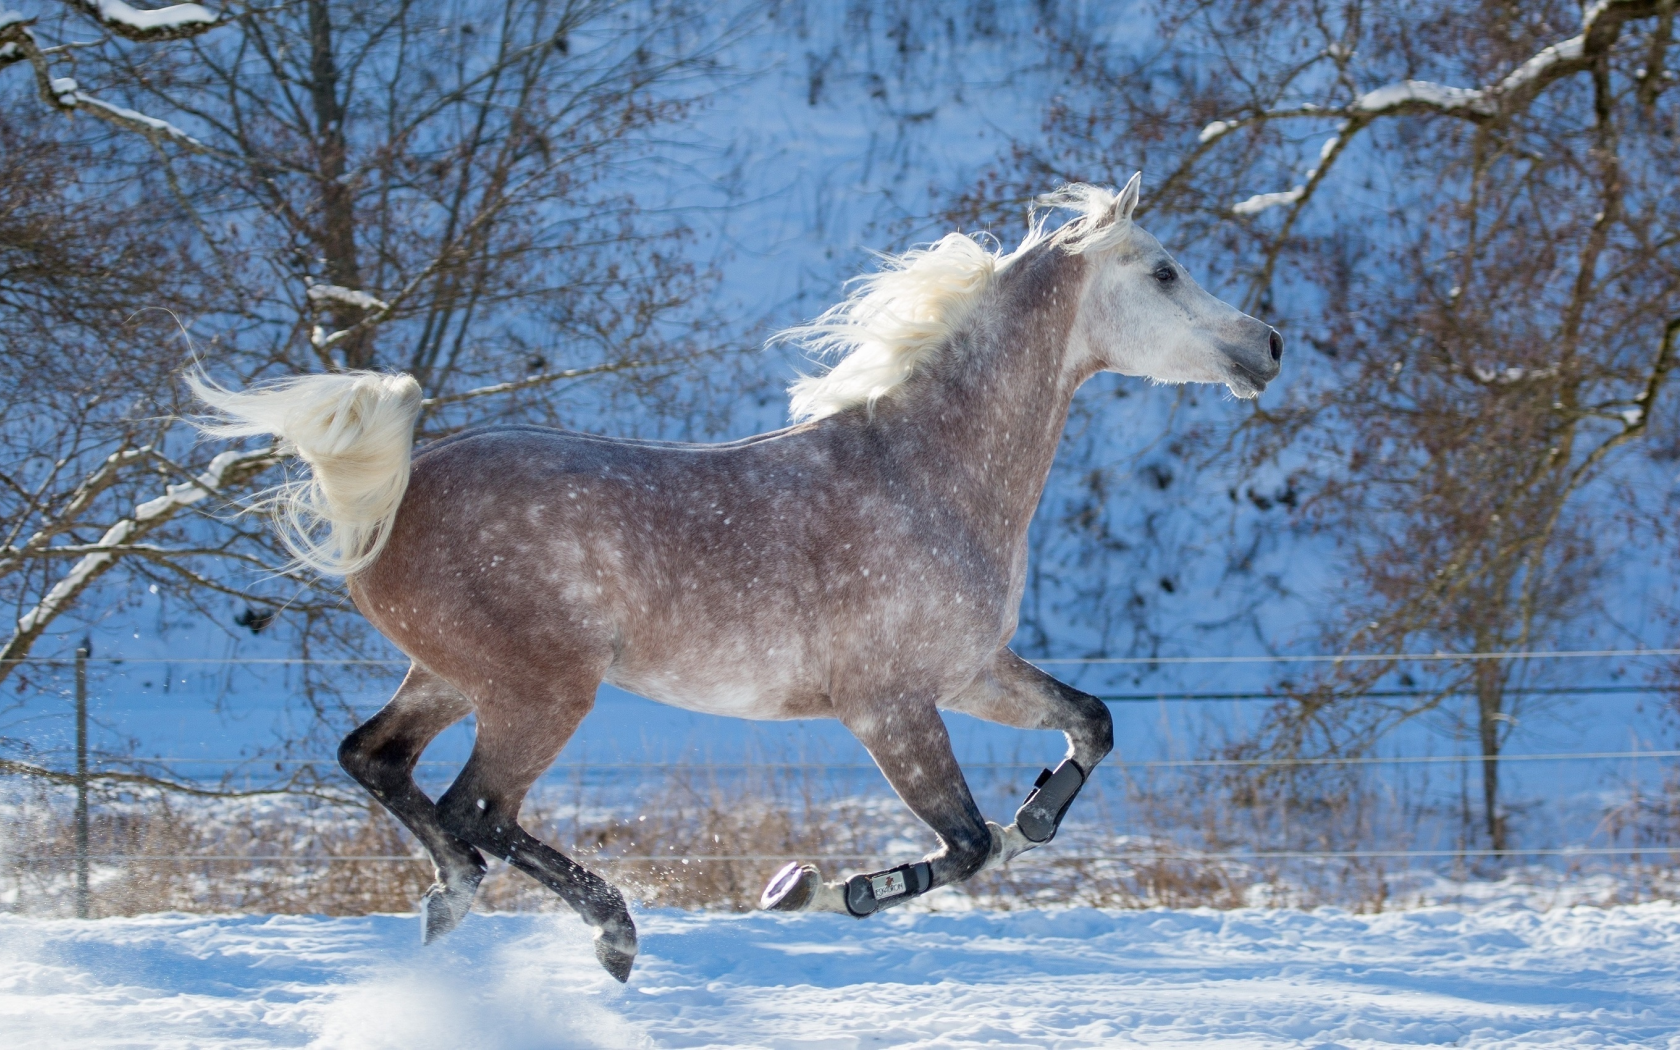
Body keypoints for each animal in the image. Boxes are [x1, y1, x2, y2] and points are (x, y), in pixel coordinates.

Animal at [187, 176, 1283, 981]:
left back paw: (453, 910)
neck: (925, 470)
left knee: (378, 762)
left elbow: (1089, 726)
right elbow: (968, 843)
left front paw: (1039, 815)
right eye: (1166, 271)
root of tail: (395, 490)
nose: (1267, 345)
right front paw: (826, 890)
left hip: (453, 678)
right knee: (475, 811)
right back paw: (611, 935)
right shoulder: (888, 705)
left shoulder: (971, 673)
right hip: (540, 690)